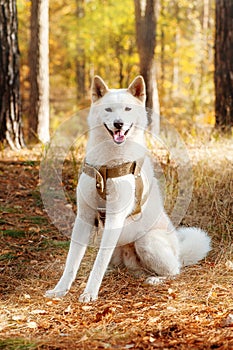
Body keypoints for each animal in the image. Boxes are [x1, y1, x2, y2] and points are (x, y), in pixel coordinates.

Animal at [45, 75, 211, 302]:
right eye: (108, 109)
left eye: (127, 109)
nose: (118, 123)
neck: (107, 166)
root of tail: (179, 251)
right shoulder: (84, 217)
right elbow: (72, 260)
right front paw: (60, 289)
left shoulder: (115, 217)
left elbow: (98, 262)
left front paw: (89, 293)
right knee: (130, 268)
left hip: (147, 241)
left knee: (174, 270)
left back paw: (156, 279)